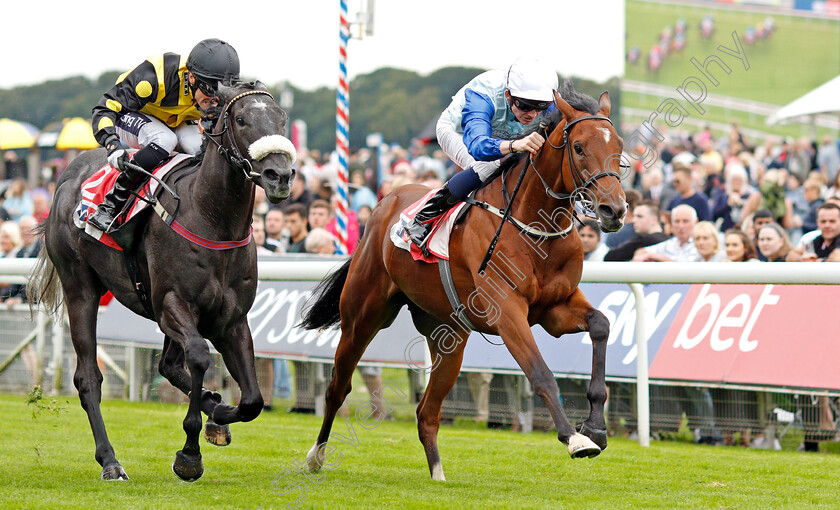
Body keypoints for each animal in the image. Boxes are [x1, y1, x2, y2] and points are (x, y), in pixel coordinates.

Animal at [27, 81, 296, 480]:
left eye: (282, 118)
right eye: (242, 119)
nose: (281, 175)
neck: (212, 218)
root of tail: (66, 175)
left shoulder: (230, 319)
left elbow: (252, 401)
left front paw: (217, 413)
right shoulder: (172, 303)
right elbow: (199, 356)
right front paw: (190, 454)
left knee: (167, 366)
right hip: (80, 288)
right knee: (88, 377)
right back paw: (110, 461)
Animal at [300, 81, 624, 480]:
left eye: (619, 147)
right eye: (578, 147)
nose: (614, 210)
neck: (535, 227)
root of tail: (384, 202)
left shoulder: (555, 308)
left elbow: (601, 324)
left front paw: (596, 427)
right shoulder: (507, 310)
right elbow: (541, 373)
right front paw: (575, 438)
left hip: (449, 337)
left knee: (427, 412)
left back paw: (438, 475)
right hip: (362, 316)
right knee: (338, 387)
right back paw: (316, 457)